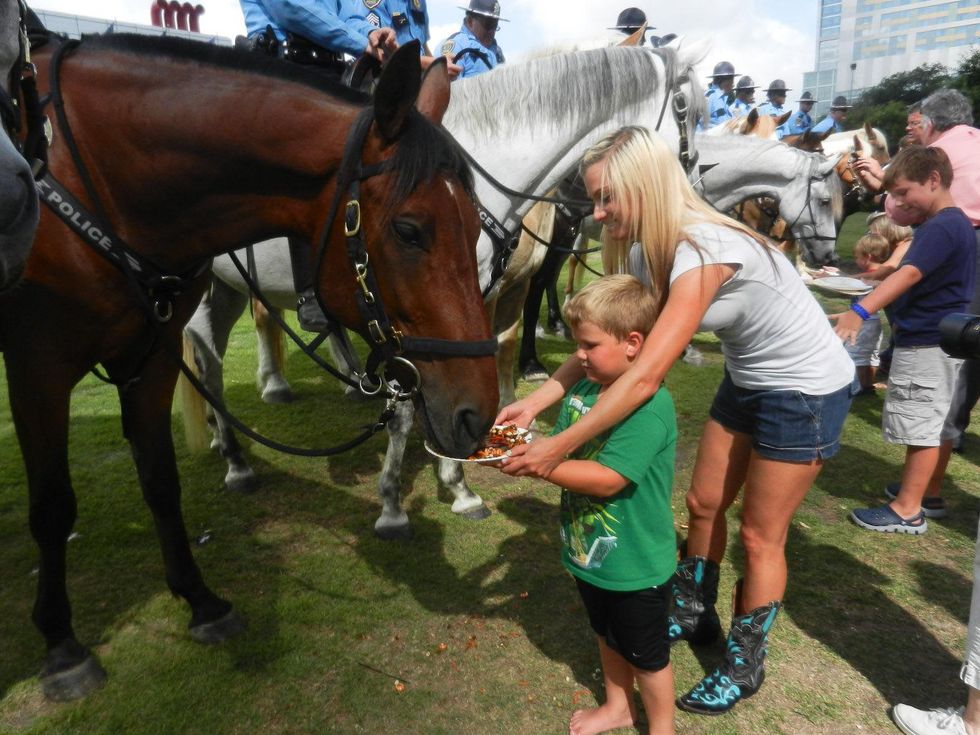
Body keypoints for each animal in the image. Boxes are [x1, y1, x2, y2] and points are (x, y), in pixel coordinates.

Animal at [2, 34, 499, 701]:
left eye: (476, 227)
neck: (93, 177)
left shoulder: (150, 356)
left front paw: (200, 601)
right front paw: (62, 645)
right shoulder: (39, 366)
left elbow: (160, 480)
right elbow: (54, 505)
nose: (479, 413)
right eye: (409, 230)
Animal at [181, 40, 710, 539]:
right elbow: (407, 407)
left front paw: (457, 477)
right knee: (209, 351)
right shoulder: (415, 321)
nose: (695, 191)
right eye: (690, 115)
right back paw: (238, 456)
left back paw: (222, 436)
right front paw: (399, 503)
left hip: (224, 283)